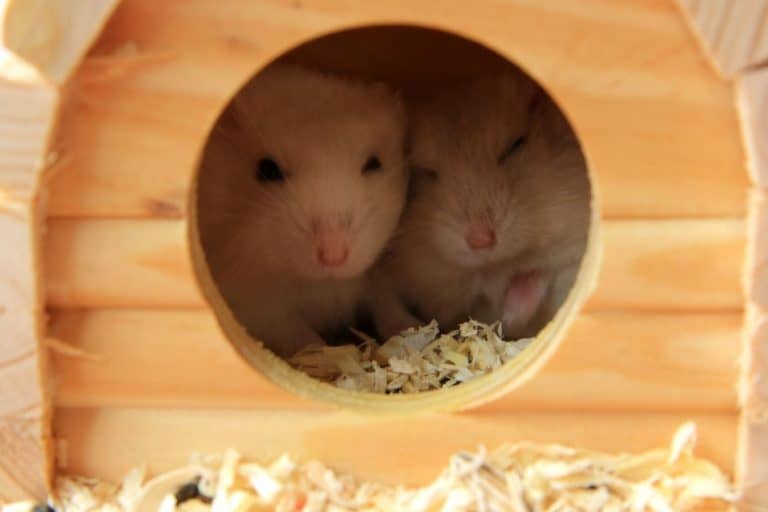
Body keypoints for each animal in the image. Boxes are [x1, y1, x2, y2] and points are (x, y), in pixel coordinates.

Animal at [197, 64, 408, 357]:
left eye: (374, 164)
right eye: (267, 170)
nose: (333, 256)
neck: (318, 282)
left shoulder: (374, 276)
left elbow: (387, 301)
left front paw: (410, 331)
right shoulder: (257, 306)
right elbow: (303, 338)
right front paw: (333, 356)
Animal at [371, 72, 590, 340]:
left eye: (516, 145)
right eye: (427, 172)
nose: (481, 241)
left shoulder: (575, 249)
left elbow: (542, 273)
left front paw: (511, 313)